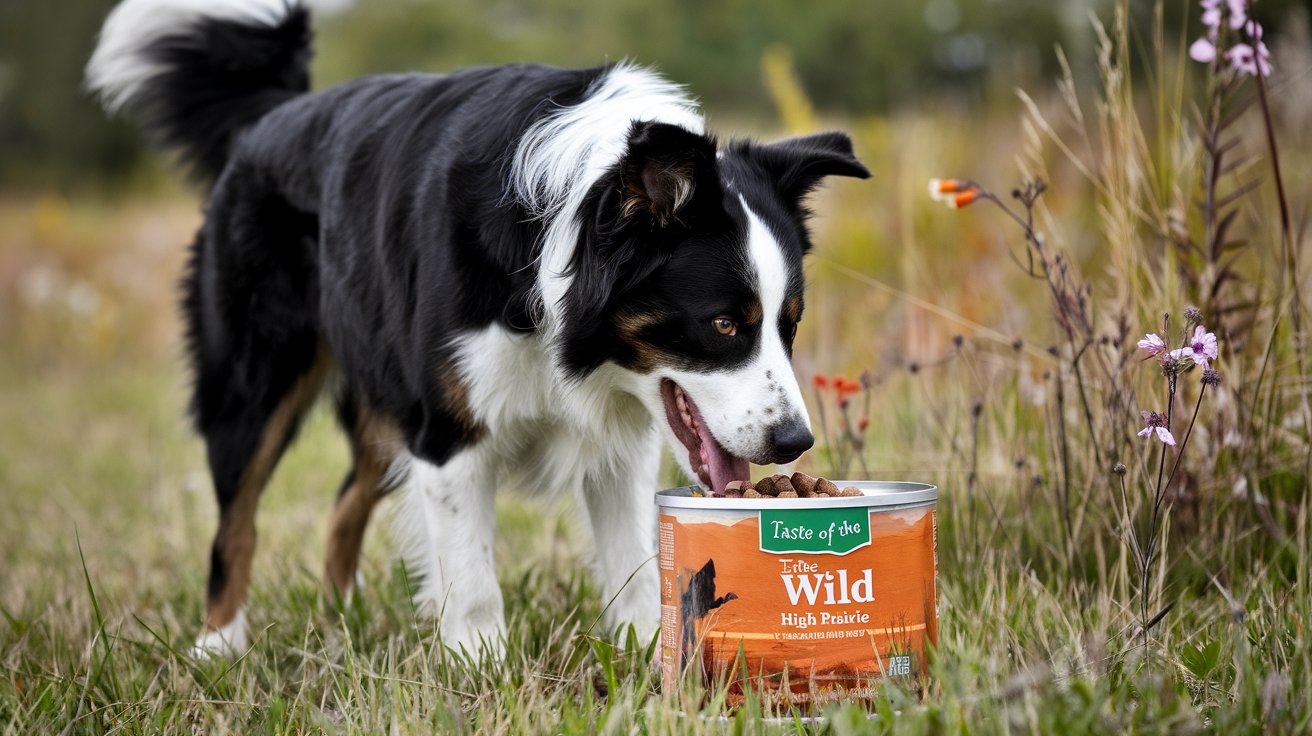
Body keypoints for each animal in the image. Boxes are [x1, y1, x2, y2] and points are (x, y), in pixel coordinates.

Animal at [89, 0, 871, 653]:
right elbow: (470, 577)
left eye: (789, 325)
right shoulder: (449, 431)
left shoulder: (617, 444)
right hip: (260, 380)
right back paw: (218, 647)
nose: (795, 443)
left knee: (343, 505)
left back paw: (340, 618)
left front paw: (651, 664)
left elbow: (636, 564)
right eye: (724, 324)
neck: (557, 234)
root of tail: (279, 114)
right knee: (237, 521)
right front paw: (480, 667)